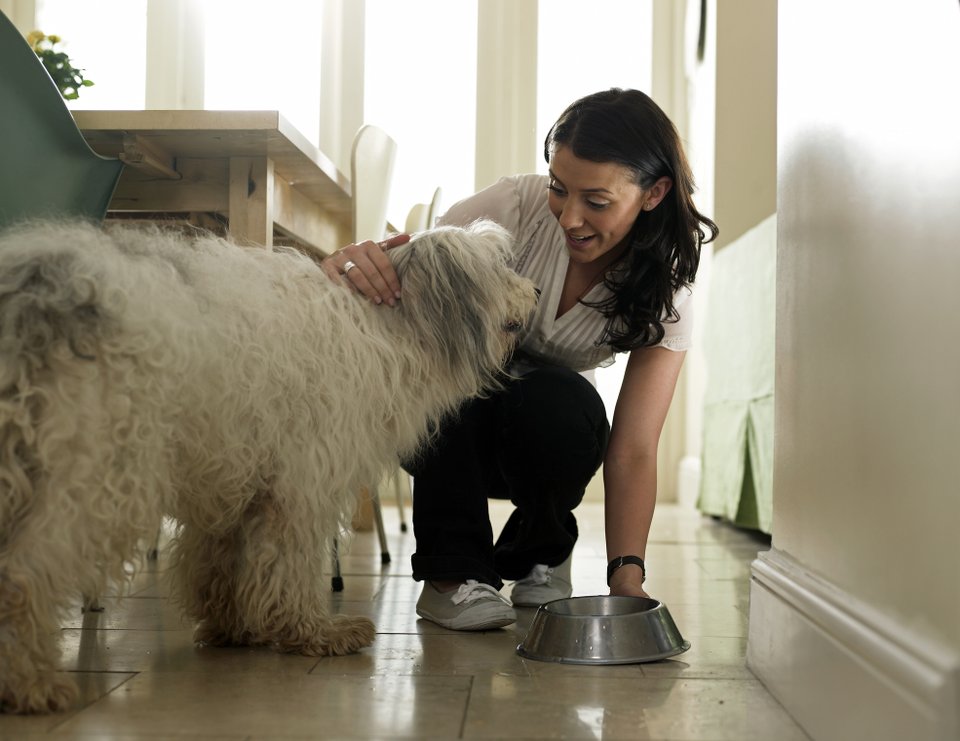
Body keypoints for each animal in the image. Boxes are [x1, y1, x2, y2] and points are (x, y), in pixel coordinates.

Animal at [0, 218, 540, 712]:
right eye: (498, 267)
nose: (536, 290)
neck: (385, 325)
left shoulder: (237, 473)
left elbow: (219, 559)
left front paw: (232, 628)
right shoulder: (302, 478)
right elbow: (291, 561)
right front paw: (314, 631)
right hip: (97, 468)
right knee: (23, 571)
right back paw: (31, 682)